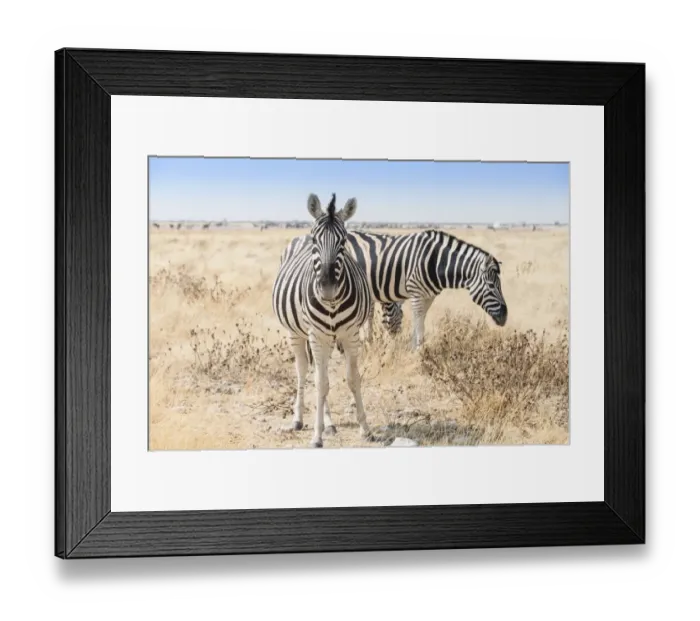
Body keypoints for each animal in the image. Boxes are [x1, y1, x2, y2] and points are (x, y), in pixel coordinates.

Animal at [272, 193, 374, 448]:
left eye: (343, 241)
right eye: (315, 240)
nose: (327, 289)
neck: (332, 304)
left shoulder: (351, 335)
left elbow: (353, 379)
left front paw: (365, 428)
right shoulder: (317, 336)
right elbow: (320, 384)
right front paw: (316, 436)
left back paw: (329, 423)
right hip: (298, 333)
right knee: (303, 370)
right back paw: (299, 420)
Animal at [345, 229, 508, 349]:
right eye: (491, 285)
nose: (505, 316)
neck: (436, 261)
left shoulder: (429, 295)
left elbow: (421, 319)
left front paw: (415, 347)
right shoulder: (415, 291)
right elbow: (418, 319)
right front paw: (419, 349)